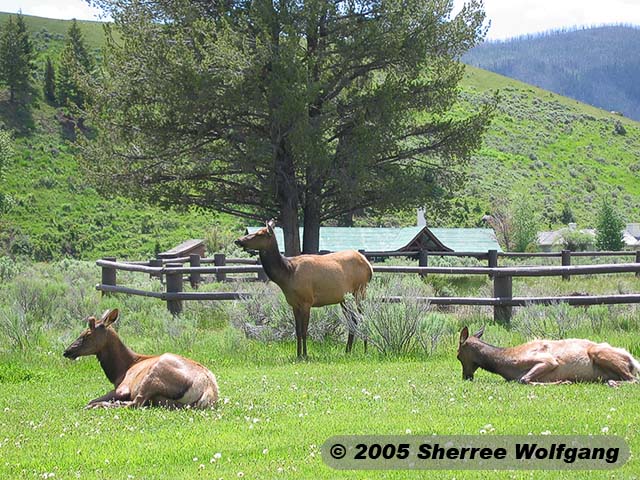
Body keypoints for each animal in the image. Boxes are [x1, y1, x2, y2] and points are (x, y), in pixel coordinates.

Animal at [63, 308, 218, 408]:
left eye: (87, 334)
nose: (67, 351)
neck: (119, 371)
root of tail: (208, 390)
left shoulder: (123, 388)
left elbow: (90, 400)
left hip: (153, 376)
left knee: (134, 403)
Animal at [238, 219, 372, 358]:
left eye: (260, 234)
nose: (238, 240)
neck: (287, 275)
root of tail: (369, 266)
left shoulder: (307, 301)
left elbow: (304, 331)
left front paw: (305, 355)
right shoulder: (294, 304)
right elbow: (297, 331)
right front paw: (298, 354)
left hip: (360, 291)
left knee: (364, 317)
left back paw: (365, 350)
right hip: (344, 298)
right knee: (353, 319)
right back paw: (347, 350)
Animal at [458, 324, 636, 388]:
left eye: (458, 356)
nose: (466, 377)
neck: (504, 363)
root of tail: (632, 360)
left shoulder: (548, 360)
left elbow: (524, 379)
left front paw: (563, 381)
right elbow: (524, 379)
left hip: (598, 352)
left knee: (634, 379)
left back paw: (613, 383)